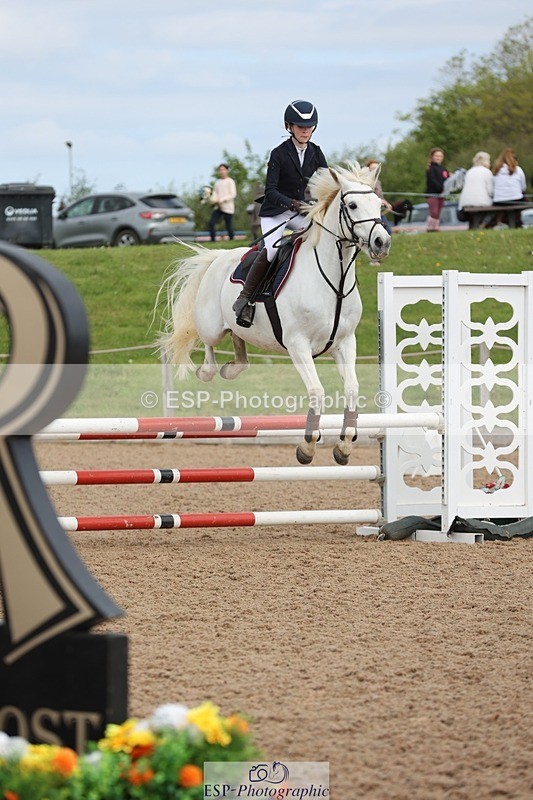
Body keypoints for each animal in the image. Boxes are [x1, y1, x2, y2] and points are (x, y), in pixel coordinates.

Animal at [158, 162, 391, 465]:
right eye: (352, 205)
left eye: (378, 204)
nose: (381, 242)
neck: (335, 280)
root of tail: (218, 257)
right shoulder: (298, 345)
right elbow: (317, 391)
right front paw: (307, 447)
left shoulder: (344, 343)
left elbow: (352, 389)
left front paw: (344, 446)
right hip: (210, 325)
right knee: (209, 343)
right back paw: (209, 371)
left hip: (239, 328)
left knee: (239, 341)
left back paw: (232, 367)